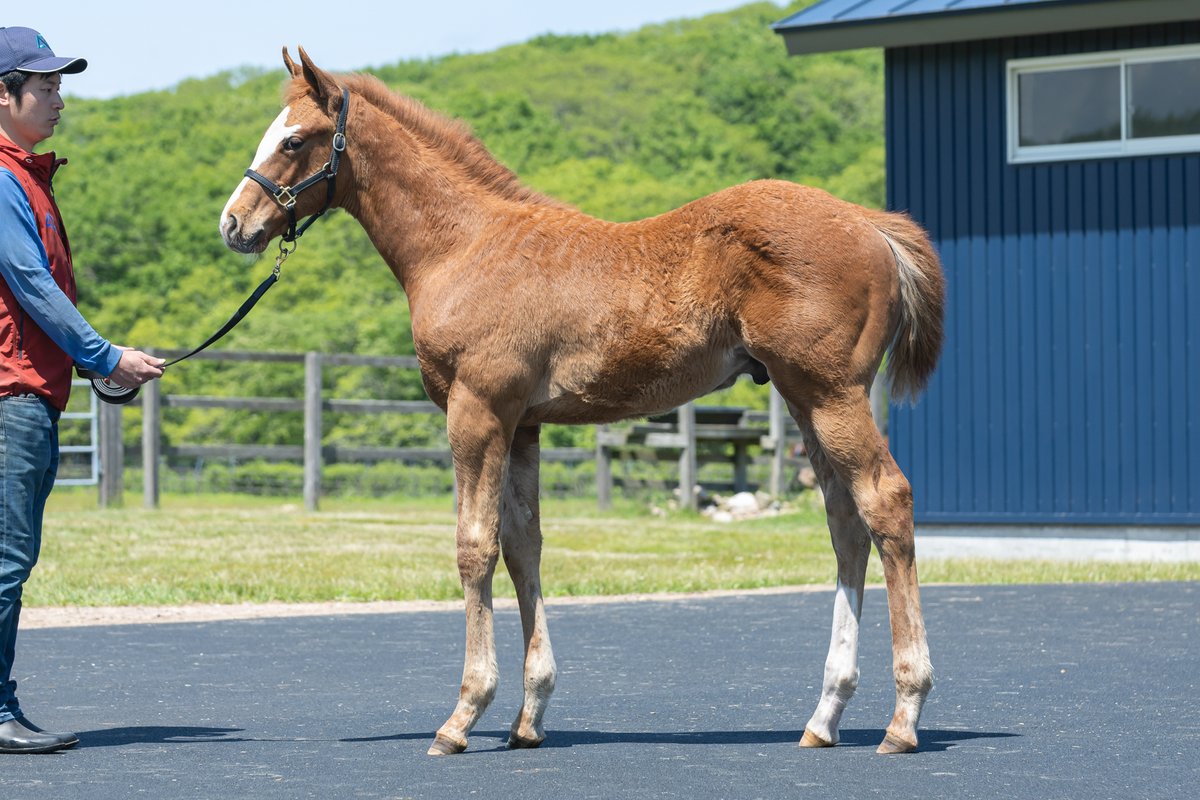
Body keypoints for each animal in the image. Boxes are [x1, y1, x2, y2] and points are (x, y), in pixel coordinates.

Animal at [219, 48, 945, 757]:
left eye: (294, 139)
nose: (234, 223)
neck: (464, 245)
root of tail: (872, 225)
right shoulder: (522, 424)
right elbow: (524, 545)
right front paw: (529, 714)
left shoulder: (477, 410)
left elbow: (474, 546)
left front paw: (463, 714)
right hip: (804, 398)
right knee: (845, 521)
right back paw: (825, 715)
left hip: (831, 392)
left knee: (886, 500)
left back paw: (904, 716)